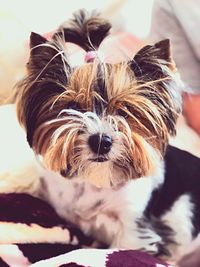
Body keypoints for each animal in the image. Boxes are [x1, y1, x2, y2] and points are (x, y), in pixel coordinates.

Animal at [14, 9, 200, 264]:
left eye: (124, 111)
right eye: (73, 106)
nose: (101, 141)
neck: (94, 181)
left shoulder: (133, 227)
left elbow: (126, 246)